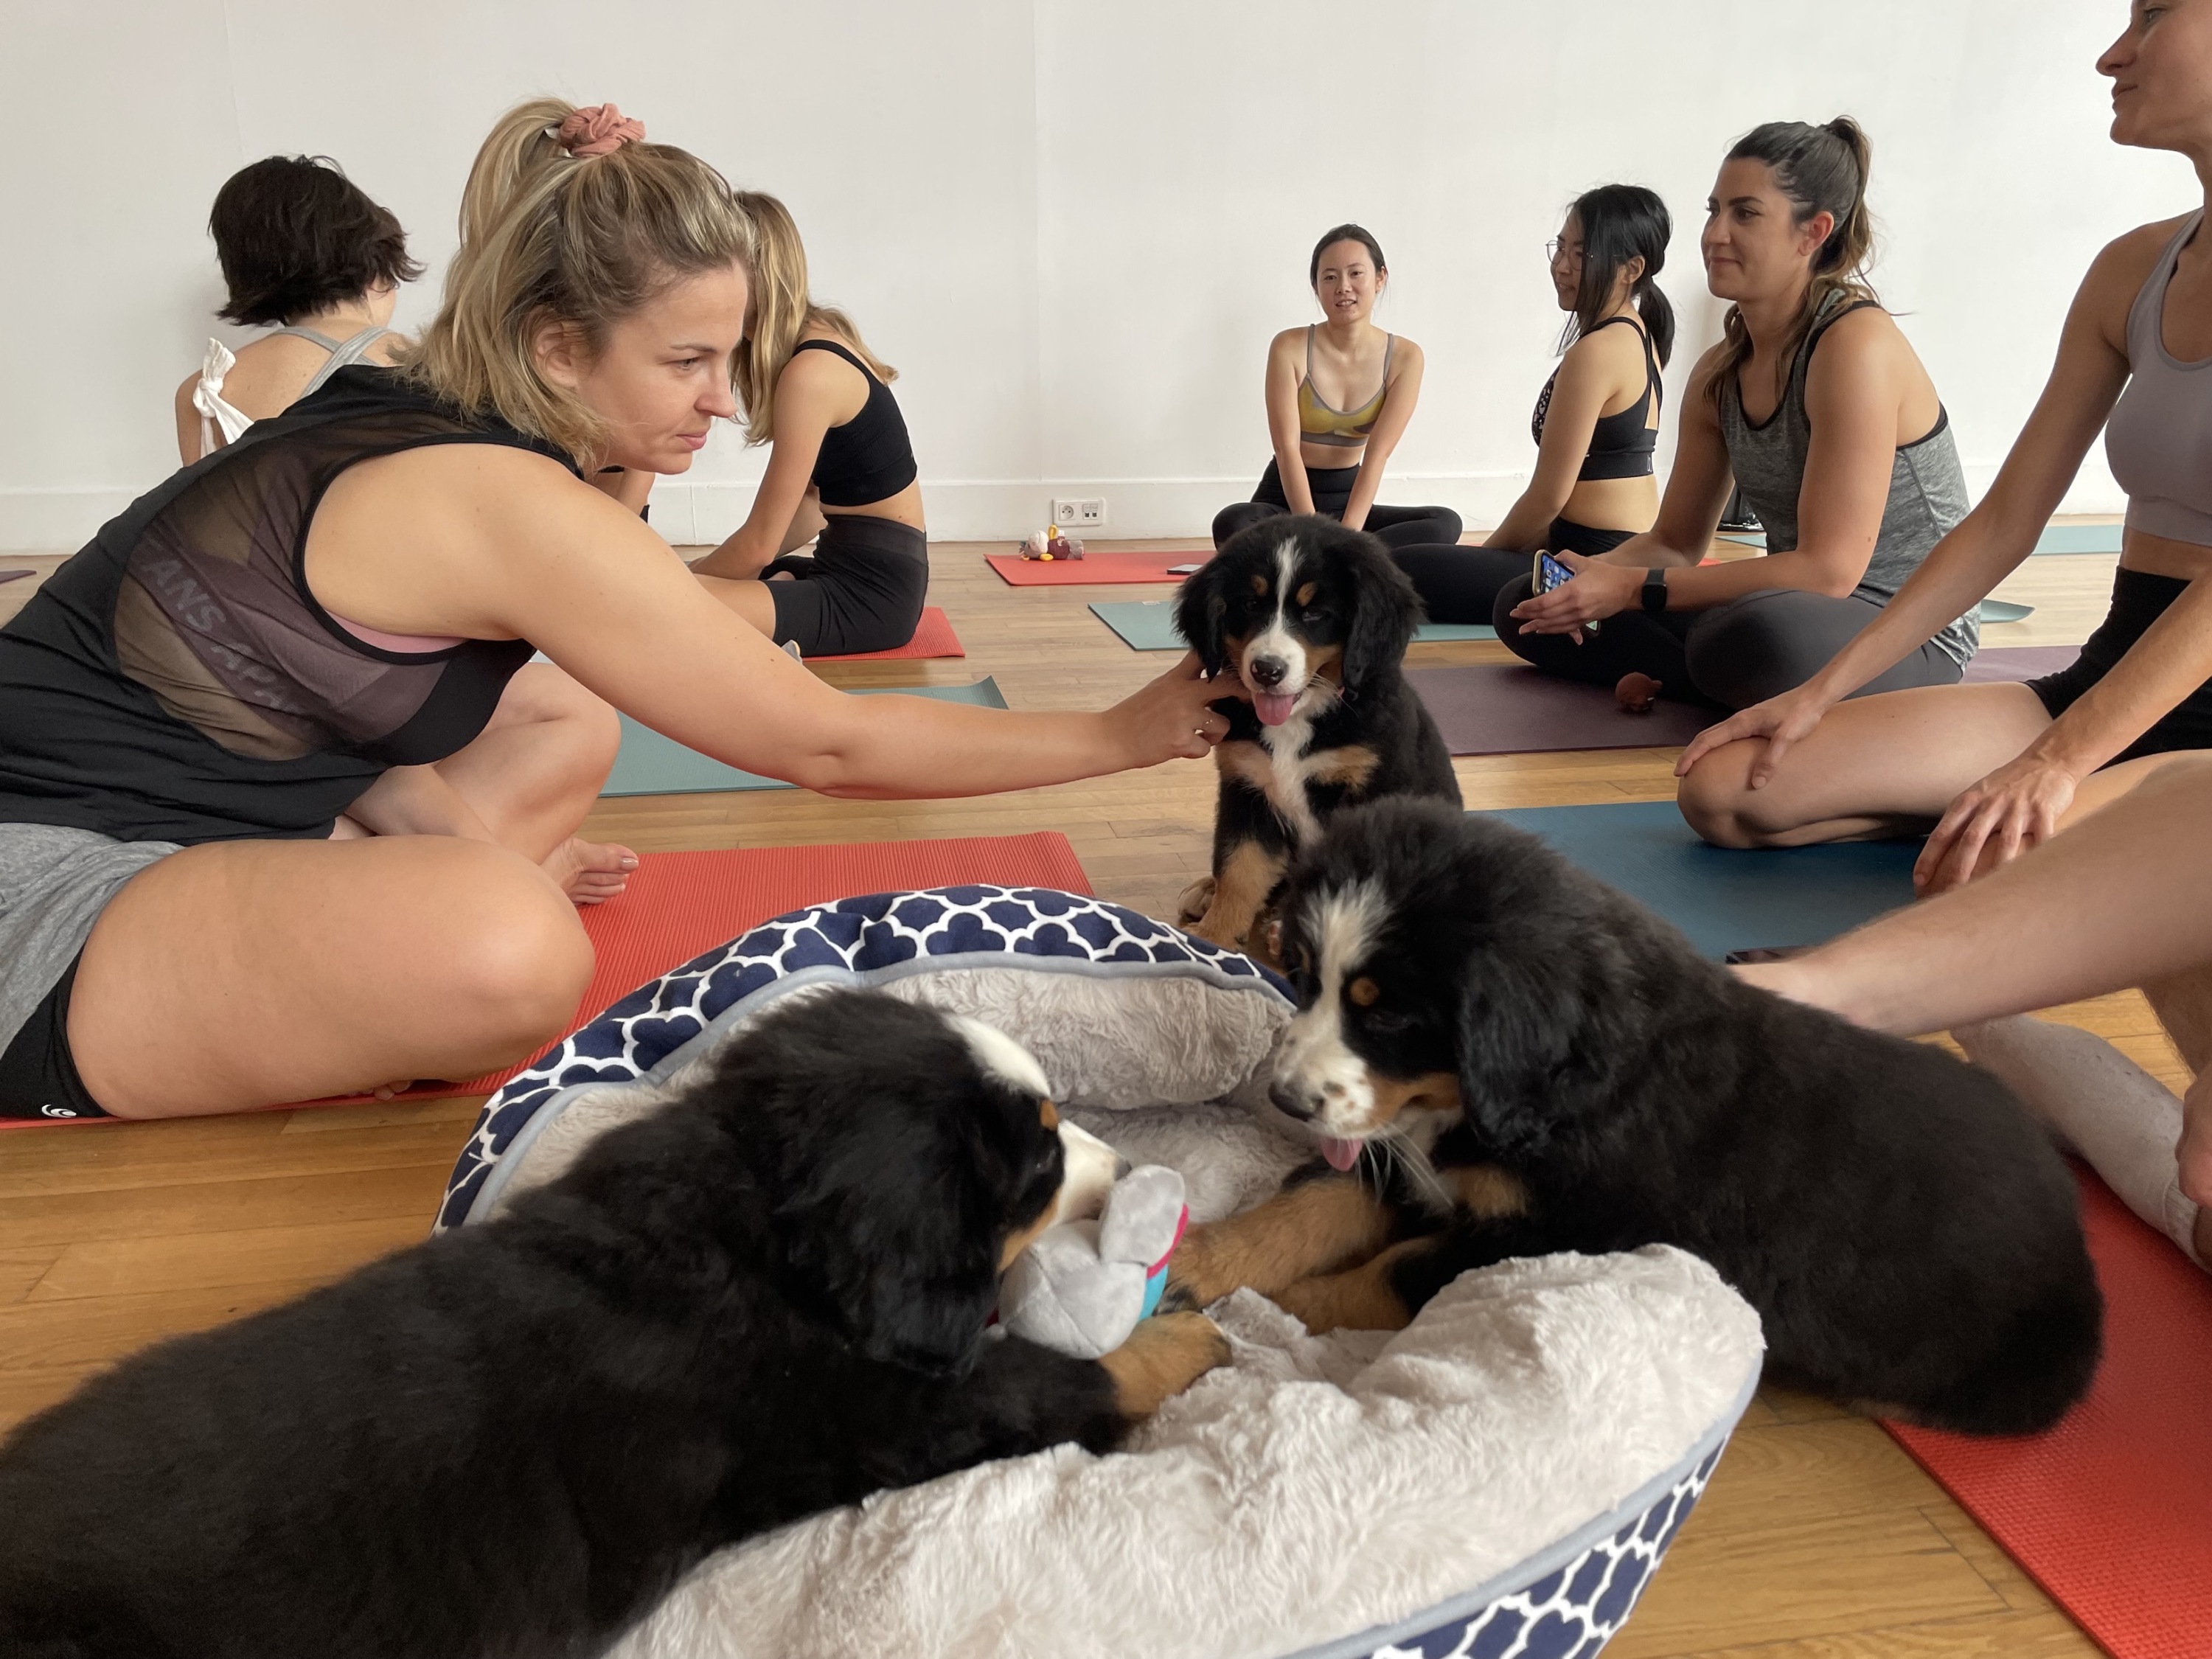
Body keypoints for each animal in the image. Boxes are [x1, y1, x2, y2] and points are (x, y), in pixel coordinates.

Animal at [0, 995, 1230, 1655]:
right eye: (1038, 1165)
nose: (1127, 1165)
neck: (743, 1222)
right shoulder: (875, 1405)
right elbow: (1044, 1379)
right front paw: (1180, 1339)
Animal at [1168, 518, 1460, 960]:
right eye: (1250, 605)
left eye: (1316, 613)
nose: (1267, 670)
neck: (1300, 717)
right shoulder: (1246, 788)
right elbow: (1238, 869)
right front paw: (1213, 938)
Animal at [1168, 805, 2097, 1442]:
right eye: (1299, 974)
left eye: (1387, 1014)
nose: (1286, 1099)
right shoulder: (1412, 1161)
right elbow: (1306, 1209)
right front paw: (1198, 1263)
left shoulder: (1563, 1230)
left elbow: (1392, 1270)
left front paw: (1273, 1308)